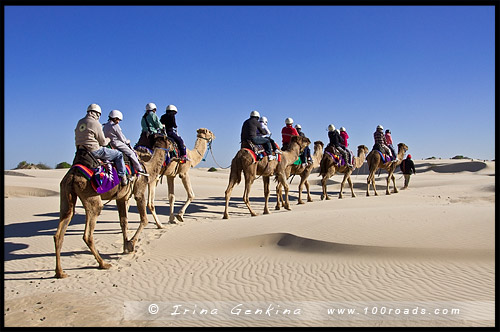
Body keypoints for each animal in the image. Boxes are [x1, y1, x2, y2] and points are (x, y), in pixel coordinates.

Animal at [54, 135, 175, 278]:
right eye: (170, 141)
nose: (174, 147)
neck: (147, 168)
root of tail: (72, 176)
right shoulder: (139, 190)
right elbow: (144, 219)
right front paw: (131, 244)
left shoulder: (121, 197)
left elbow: (123, 222)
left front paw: (125, 246)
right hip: (90, 197)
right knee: (88, 233)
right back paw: (103, 264)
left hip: (66, 193)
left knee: (60, 231)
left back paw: (60, 272)